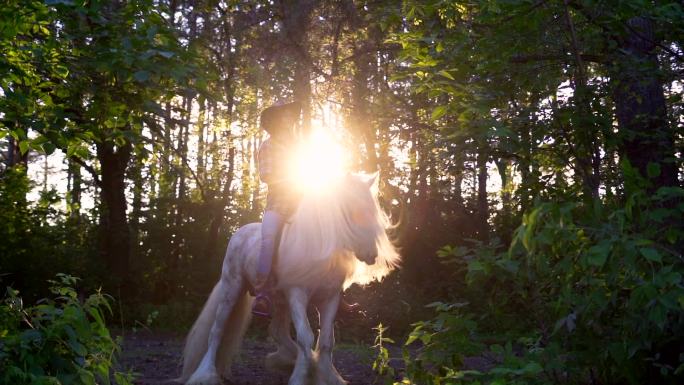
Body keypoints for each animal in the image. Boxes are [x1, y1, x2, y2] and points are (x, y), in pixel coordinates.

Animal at [178, 172, 400, 384]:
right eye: (353, 211)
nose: (371, 255)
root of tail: (239, 233)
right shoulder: (297, 293)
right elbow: (305, 336)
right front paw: (301, 377)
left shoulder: (329, 298)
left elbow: (326, 341)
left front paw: (327, 376)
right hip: (232, 289)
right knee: (216, 331)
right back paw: (205, 374)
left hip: (278, 301)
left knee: (277, 331)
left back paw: (286, 360)